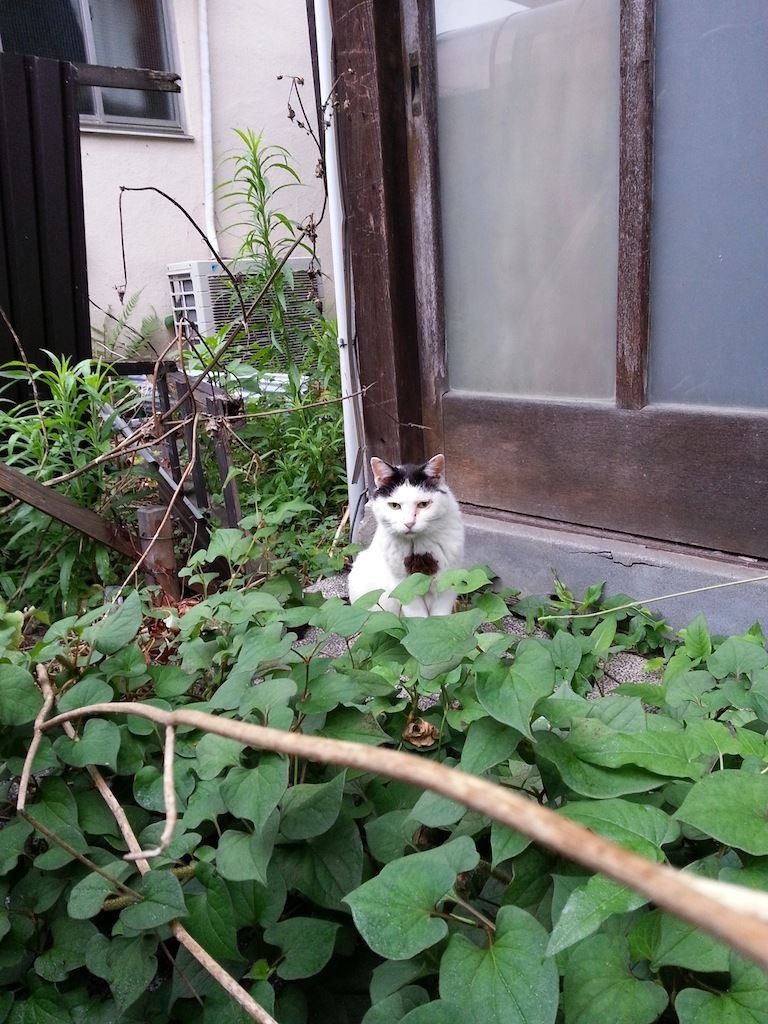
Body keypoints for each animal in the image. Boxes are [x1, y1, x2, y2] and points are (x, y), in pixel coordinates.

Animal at [348, 454, 462, 614]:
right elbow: (418, 616)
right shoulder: (404, 587)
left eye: (423, 504)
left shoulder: (447, 583)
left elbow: (440, 617)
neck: (419, 551)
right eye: (394, 506)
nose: (409, 523)